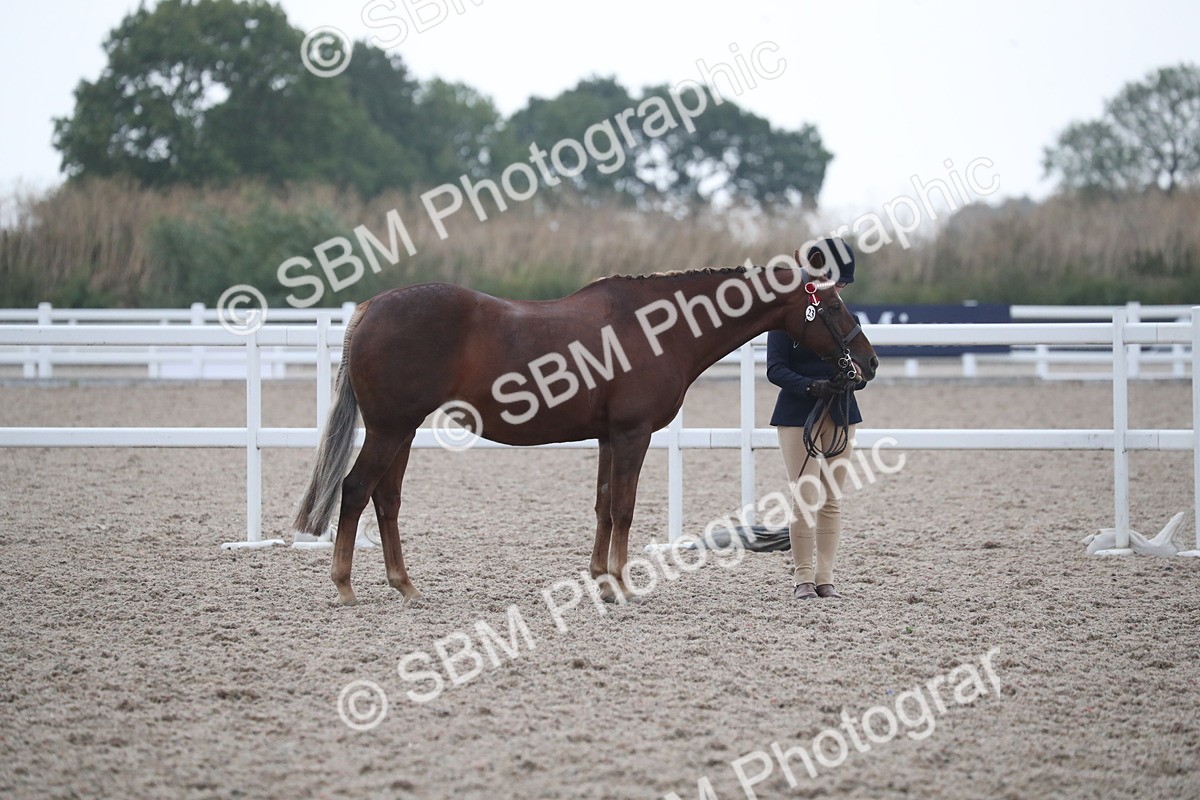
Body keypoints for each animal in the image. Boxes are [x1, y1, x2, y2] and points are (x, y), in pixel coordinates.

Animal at [292, 250, 879, 605]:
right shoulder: (633, 434)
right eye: (831, 304)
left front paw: (600, 579)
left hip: (404, 431)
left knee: (386, 499)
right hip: (390, 429)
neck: (657, 329)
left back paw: (405, 586)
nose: (869, 364)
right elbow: (623, 507)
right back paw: (344, 587)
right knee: (355, 489)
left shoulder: (607, 436)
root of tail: (370, 308)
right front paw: (621, 585)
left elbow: (601, 503)